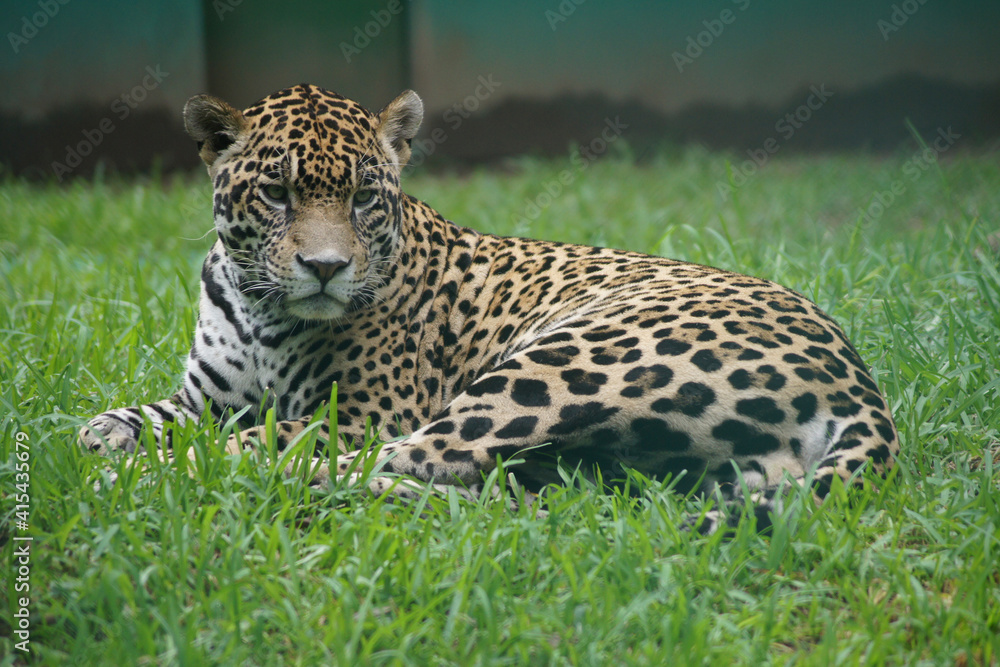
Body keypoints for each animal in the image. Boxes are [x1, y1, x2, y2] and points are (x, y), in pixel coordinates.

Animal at [79, 83, 899, 534]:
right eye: (276, 194)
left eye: (364, 198)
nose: (326, 269)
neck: (259, 309)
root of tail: (860, 383)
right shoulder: (204, 396)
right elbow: (143, 413)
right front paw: (101, 432)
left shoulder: (362, 412)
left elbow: (273, 435)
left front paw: (139, 458)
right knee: (514, 488)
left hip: (557, 365)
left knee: (416, 459)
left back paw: (161, 478)